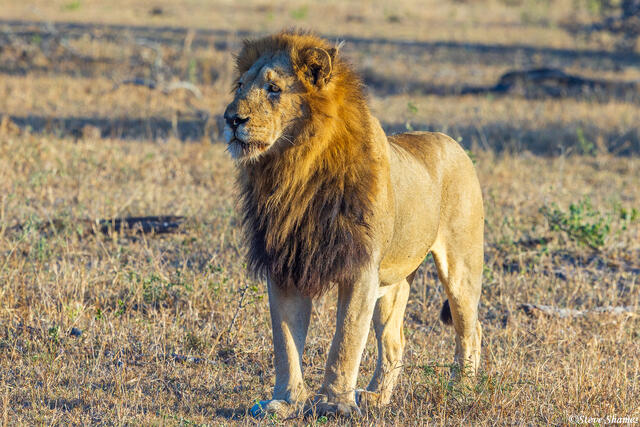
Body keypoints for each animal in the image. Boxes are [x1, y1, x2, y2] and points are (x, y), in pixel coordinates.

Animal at [223, 30, 484, 418]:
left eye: (274, 89)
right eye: (240, 86)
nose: (231, 119)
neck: (294, 168)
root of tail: (451, 141)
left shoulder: (360, 269)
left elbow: (344, 341)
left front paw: (333, 404)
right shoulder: (286, 266)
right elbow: (285, 342)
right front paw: (286, 401)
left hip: (460, 269)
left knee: (471, 329)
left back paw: (461, 391)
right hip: (392, 284)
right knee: (395, 341)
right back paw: (376, 397)